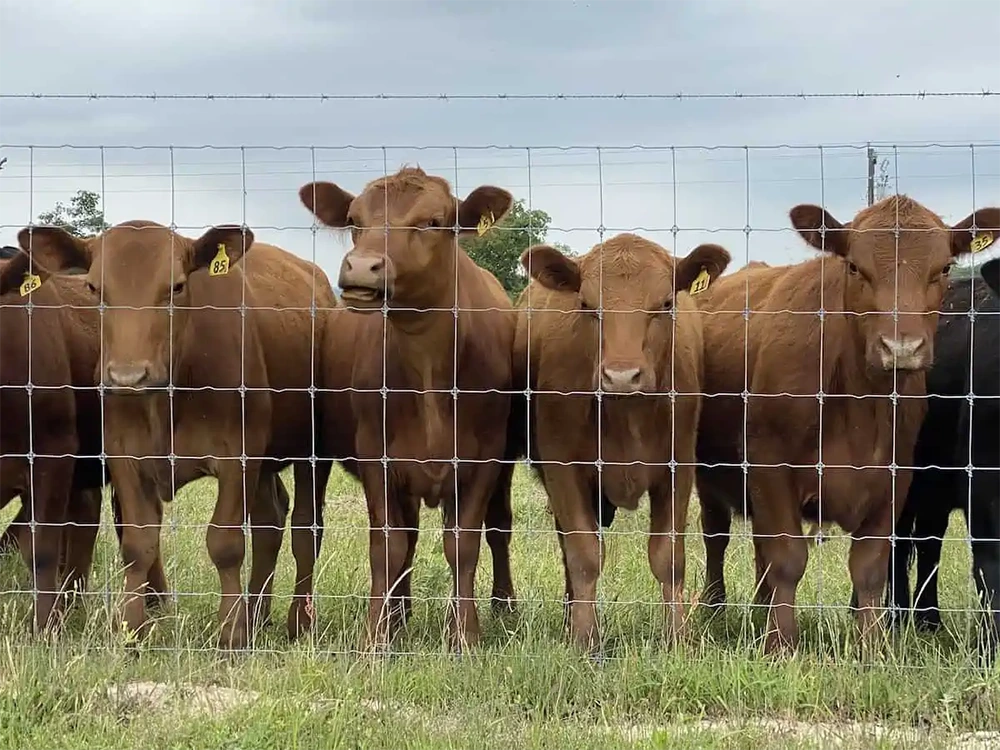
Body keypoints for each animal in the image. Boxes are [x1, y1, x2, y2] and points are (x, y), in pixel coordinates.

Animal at [15, 220, 336, 648]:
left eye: (177, 286)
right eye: (94, 288)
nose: (128, 376)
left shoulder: (239, 458)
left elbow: (226, 544)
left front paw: (230, 635)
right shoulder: (125, 457)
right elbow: (138, 544)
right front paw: (131, 631)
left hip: (313, 452)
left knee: (305, 529)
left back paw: (298, 621)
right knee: (270, 519)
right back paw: (256, 614)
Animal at [296, 166, 516, 652]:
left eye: (432, 222)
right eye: (354, 220)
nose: (362, 267)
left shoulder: (485, 459)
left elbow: (463, 545)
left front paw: (464, 635)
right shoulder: (376, 455)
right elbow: (388, 546)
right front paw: (376, 636)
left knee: (500, 529)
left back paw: (505, 609)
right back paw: (399, 615)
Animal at [516, 234, 728, 652]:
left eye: (666, 303)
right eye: (586, 305)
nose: (621, 375)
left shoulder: (678, 469)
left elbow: (669, 557)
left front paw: (676, 637)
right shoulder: (562, 470)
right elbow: (583, 555)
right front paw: (586, 639)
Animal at [692, 197, 1000, 656]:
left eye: (944, 267)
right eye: (855, 266)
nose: (901, 348)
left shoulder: (895, 481)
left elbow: (871, 566)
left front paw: (870, 647)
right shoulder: (770, 469)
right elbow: (787, 558)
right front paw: (780, 645)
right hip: (707, 475)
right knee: (717, 536)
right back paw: (714, 609)